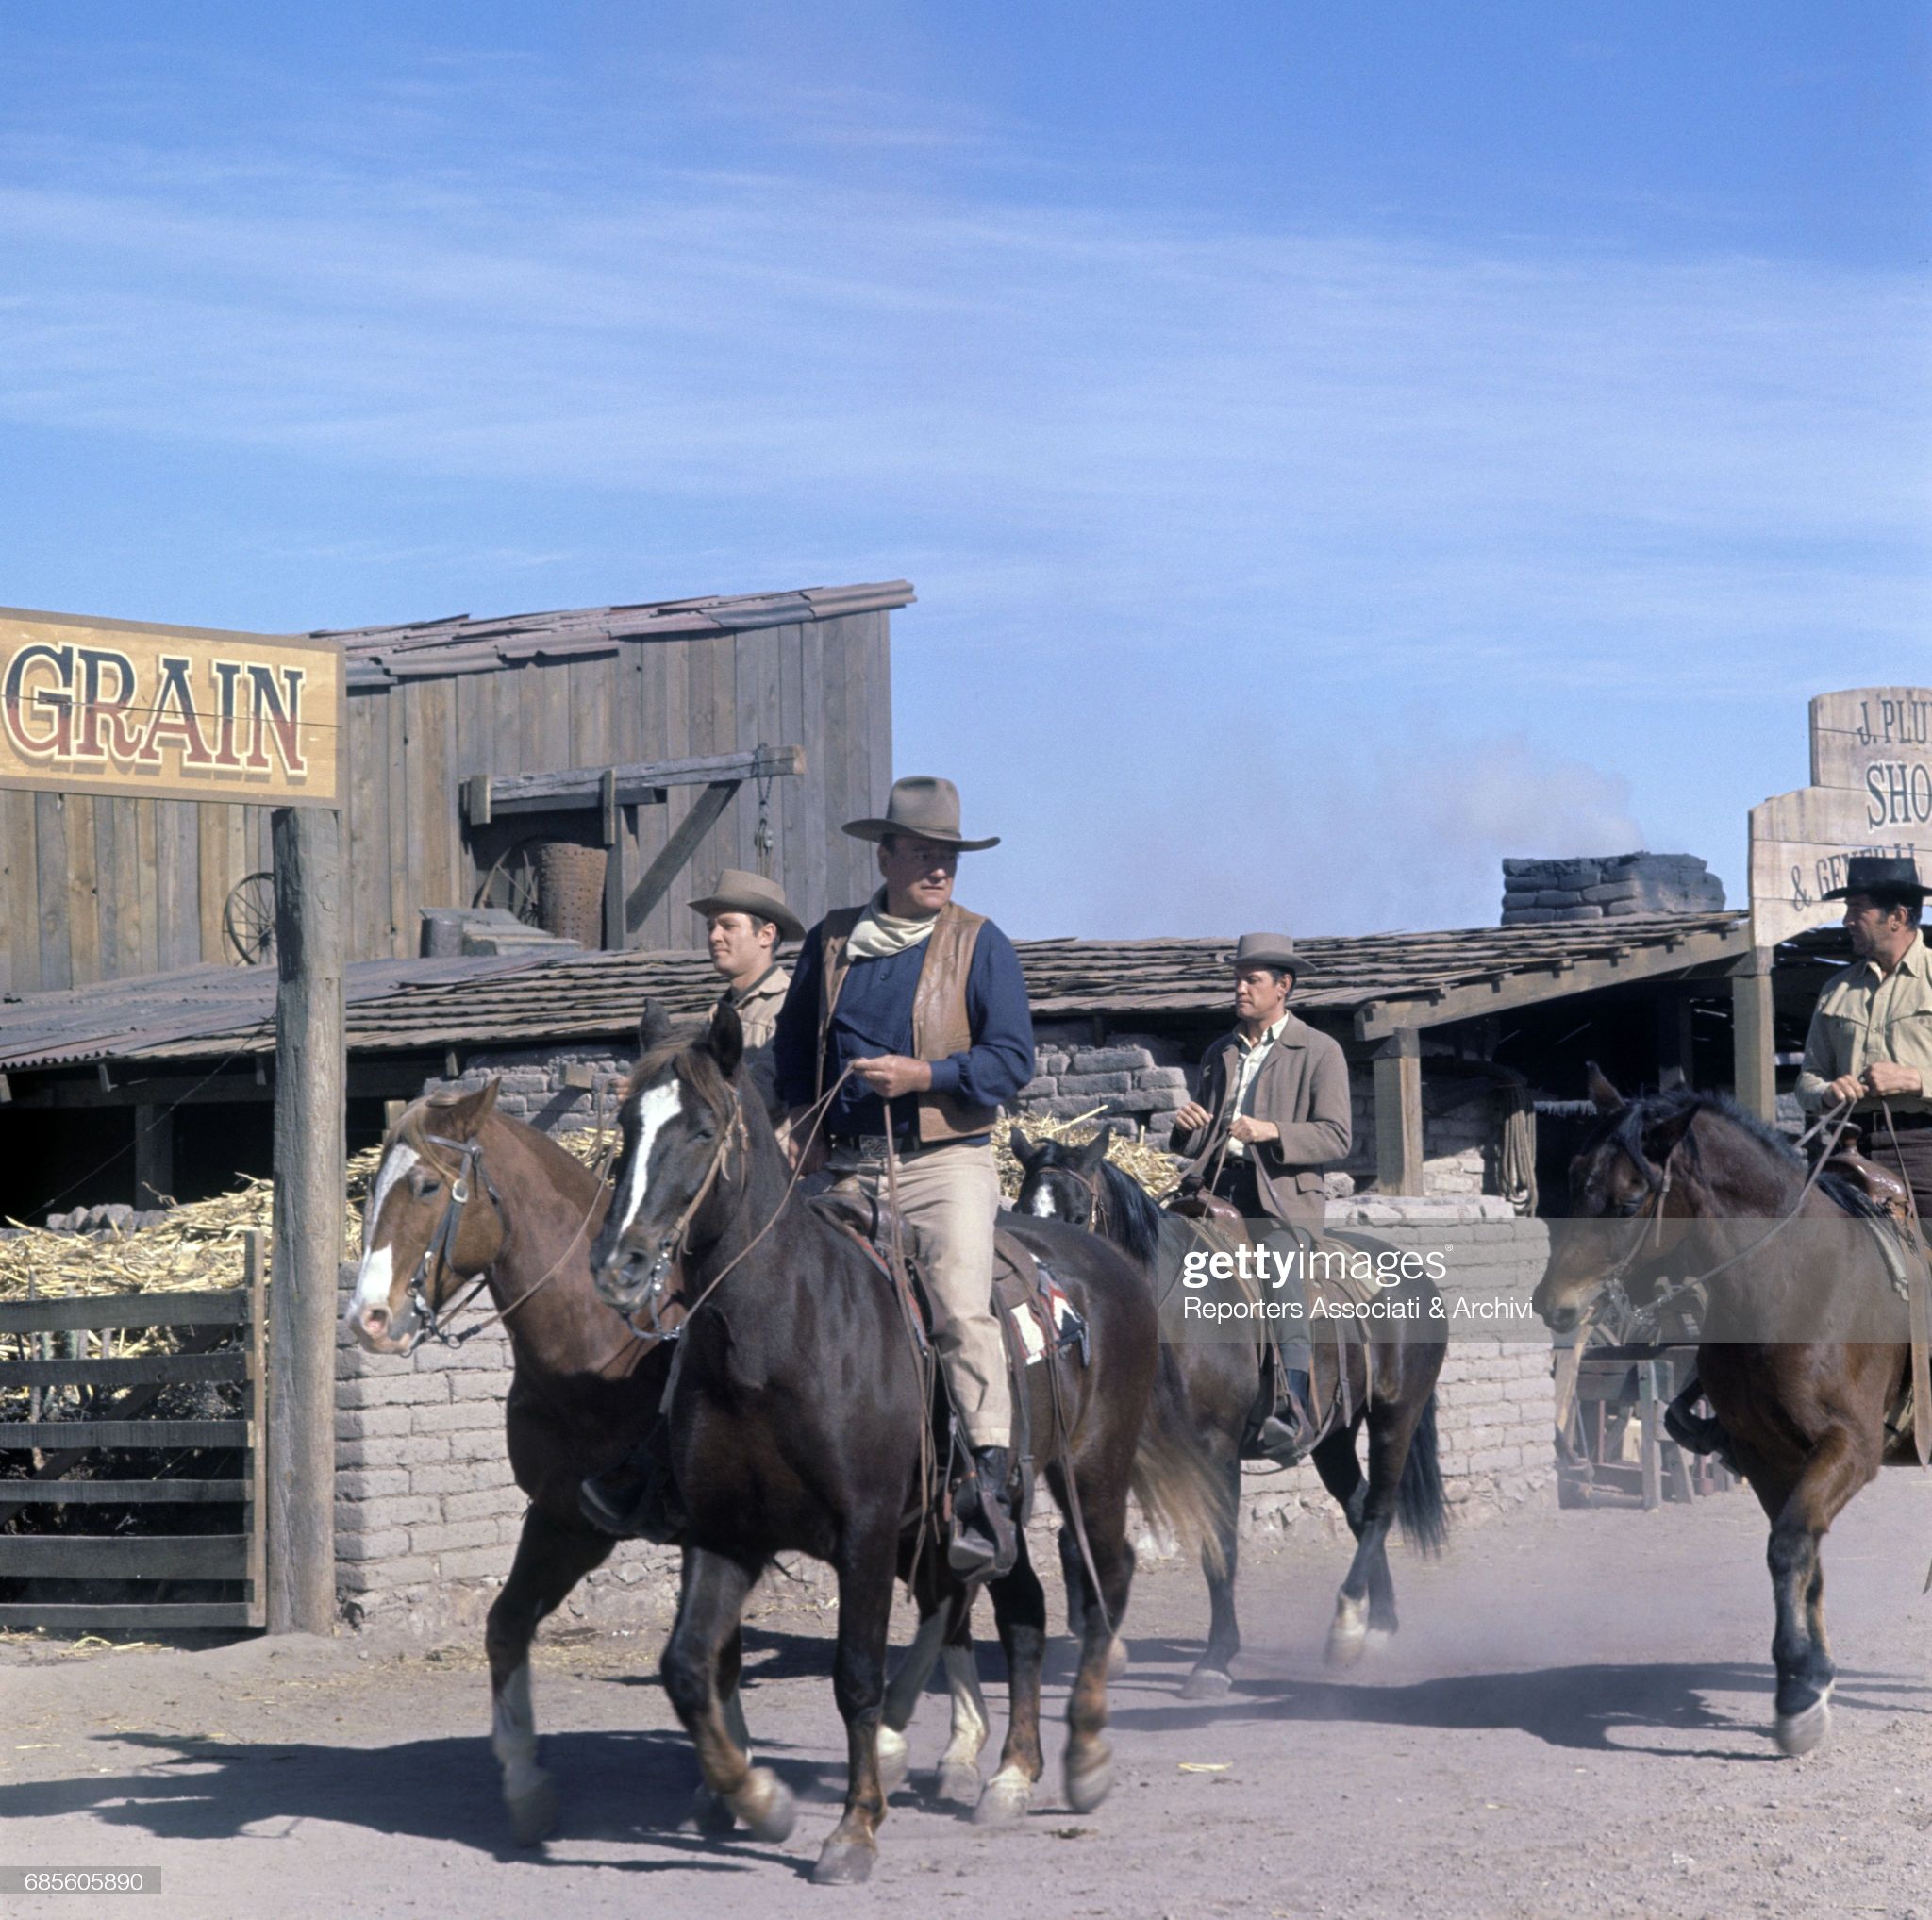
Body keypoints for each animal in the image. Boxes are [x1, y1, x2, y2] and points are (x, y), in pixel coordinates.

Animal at [1012, 1127, 1453, 1684]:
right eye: (1020, 1211)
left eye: (1075, 1217)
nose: (1043, 1309)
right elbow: (1077, 1538)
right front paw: (1105, 1644)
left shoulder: (1216, 1449)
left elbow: (1219, 1547)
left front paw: (1216, 1660)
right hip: (1334, 1437)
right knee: (1357, 1508)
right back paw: (1376, 1627)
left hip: (1397, 1416)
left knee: (1378, 1510)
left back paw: (1350, 1628)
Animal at [1530, 1074, 1924, 1761]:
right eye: (1576, 1175)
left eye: (1630, 1198)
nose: (1555, 1304)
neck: (1795, 1281)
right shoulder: (1766, 1454)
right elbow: (1801, 1558)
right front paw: (1810, 1677)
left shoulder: (1850, 1448)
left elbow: (1791, 1546)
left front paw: (1797, 1693)